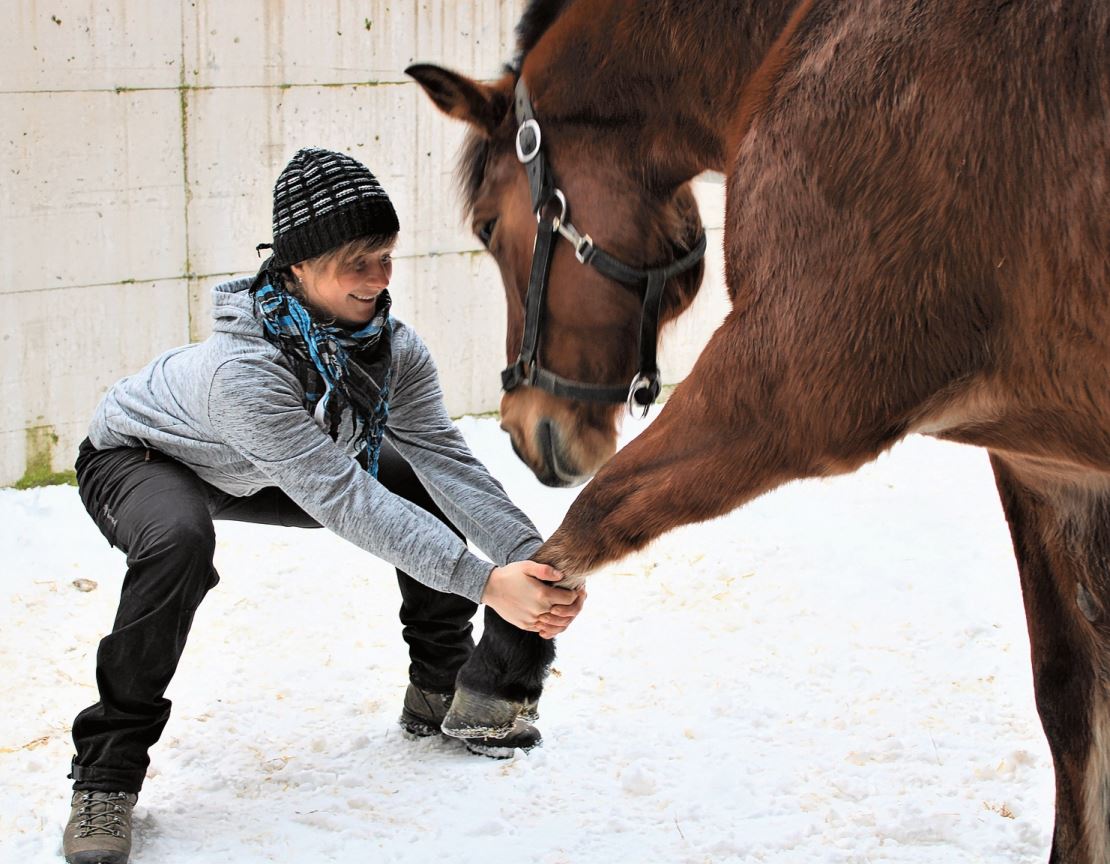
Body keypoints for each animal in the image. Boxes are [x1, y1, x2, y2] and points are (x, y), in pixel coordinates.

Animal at [410, 3, 1110, 857]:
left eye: (485, 225)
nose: (522, 426)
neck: (806, 39)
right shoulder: (1049, 469)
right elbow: (1071, 702)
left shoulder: (789, 390)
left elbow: (592, 516)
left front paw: (501, 670)